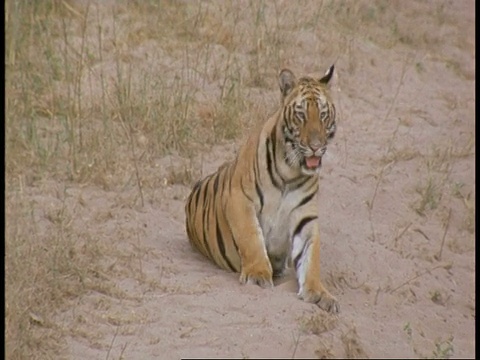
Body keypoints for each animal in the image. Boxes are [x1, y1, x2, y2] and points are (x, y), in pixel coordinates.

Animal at [184, 64, 338, 312]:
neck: (291, 171)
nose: (316, 147)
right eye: (301, 114)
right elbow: (251, 237)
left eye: (323, 114)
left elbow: (311, 258)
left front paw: (319, 293)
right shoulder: (239, 199)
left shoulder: (305, 218)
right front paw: (257, 275)